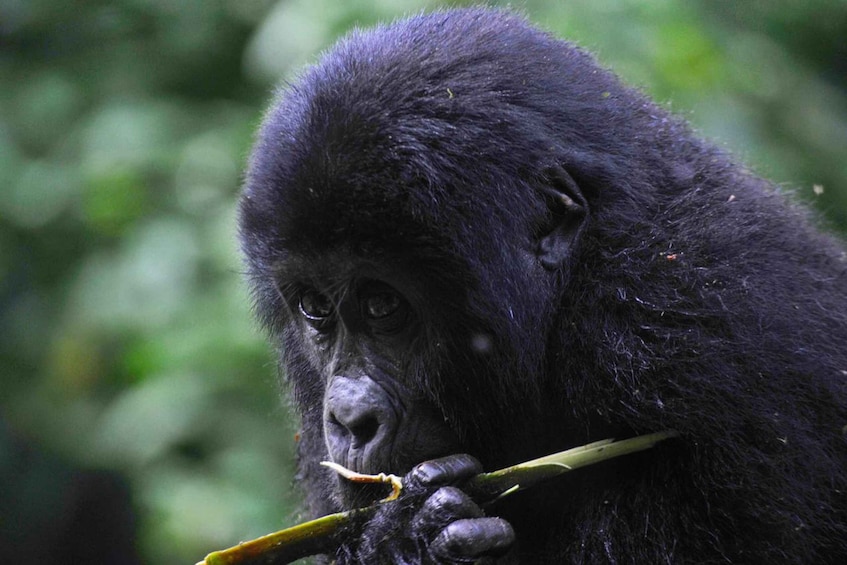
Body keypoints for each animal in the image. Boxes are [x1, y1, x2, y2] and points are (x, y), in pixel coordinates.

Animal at [237, 6, 847, 560]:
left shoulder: (699, 340)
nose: (349, 421)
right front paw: (404, 541)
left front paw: (409, 538)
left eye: (383, 305)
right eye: (315, 308)